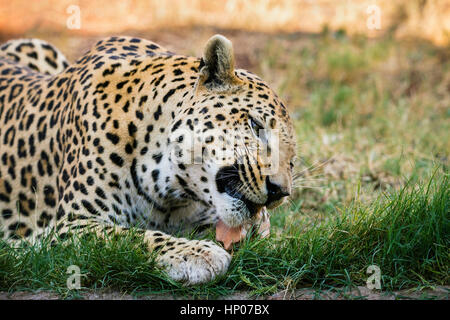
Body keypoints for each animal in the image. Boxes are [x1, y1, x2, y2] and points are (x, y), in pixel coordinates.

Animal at [0, 35, 296, 284]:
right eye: (255, 125)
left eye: (292, 160)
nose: (279, 192)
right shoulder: (71, 224)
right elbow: (129, 236)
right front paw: (196, 253)